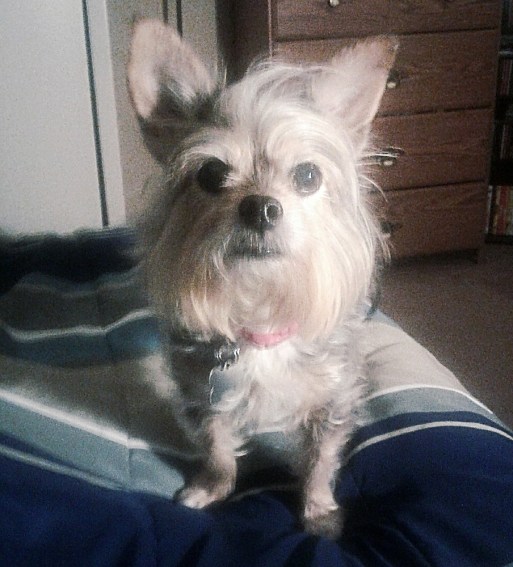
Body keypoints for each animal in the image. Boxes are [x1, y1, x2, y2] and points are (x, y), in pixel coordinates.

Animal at [128, 19, 397, 538]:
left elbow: (321, 460)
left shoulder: (332, 400)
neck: (261, 310)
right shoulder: (202, 394)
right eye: (211, 174)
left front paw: (318, 509)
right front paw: (211, 489)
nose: (260, 207)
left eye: (308, 176)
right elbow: (217, 450)